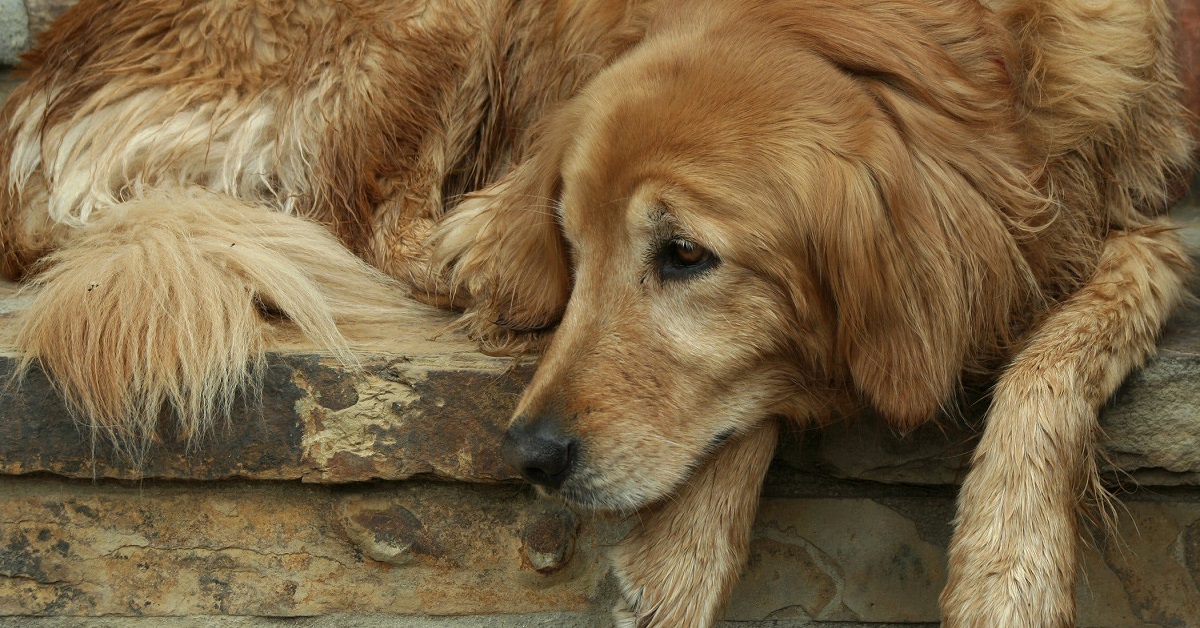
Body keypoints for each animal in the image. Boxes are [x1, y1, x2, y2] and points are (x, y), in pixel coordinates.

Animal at [0, 1, 1195, 628]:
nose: (528, 453)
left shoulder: (1137, 195)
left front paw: (1009, 564)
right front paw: (681, 557)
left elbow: (1101, 308)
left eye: (685, 256)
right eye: (576, 244)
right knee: (378, 225)